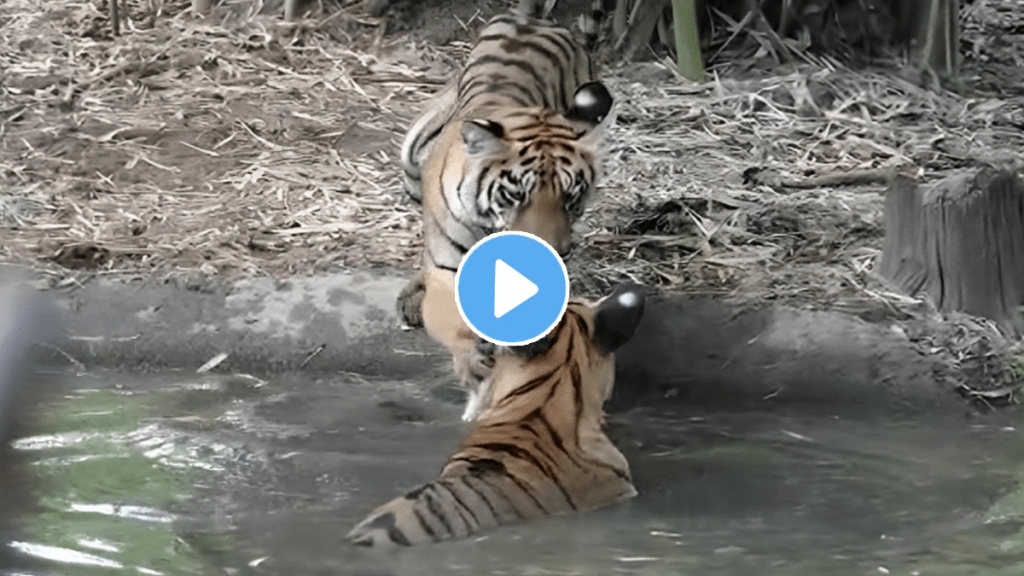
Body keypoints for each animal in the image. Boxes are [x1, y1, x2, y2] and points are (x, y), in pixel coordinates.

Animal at [391, 2, 614, 420]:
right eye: (517, 194)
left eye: (570, 197)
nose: (557, 250)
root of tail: (534, 19)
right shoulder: (445, 270)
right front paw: (474, 366)